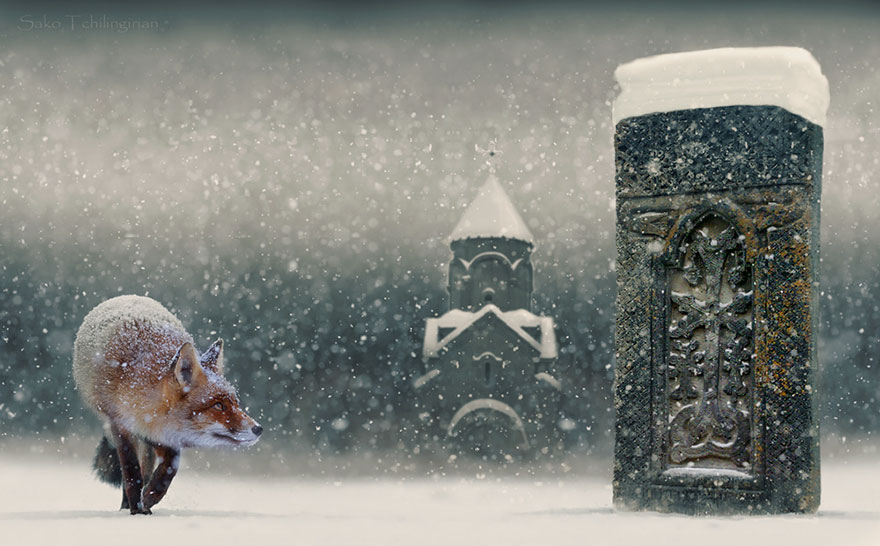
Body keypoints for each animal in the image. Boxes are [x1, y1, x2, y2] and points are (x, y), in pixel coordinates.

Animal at [73, 295, 262, 514]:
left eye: (235, 402)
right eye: (218, 405)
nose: (258, 429)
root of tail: (127, 296)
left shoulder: (162, 434)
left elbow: (170, 468)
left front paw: (150, 496)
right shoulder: (120, 425)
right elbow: (131, 472)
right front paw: (136, 509)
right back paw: (127, 506)